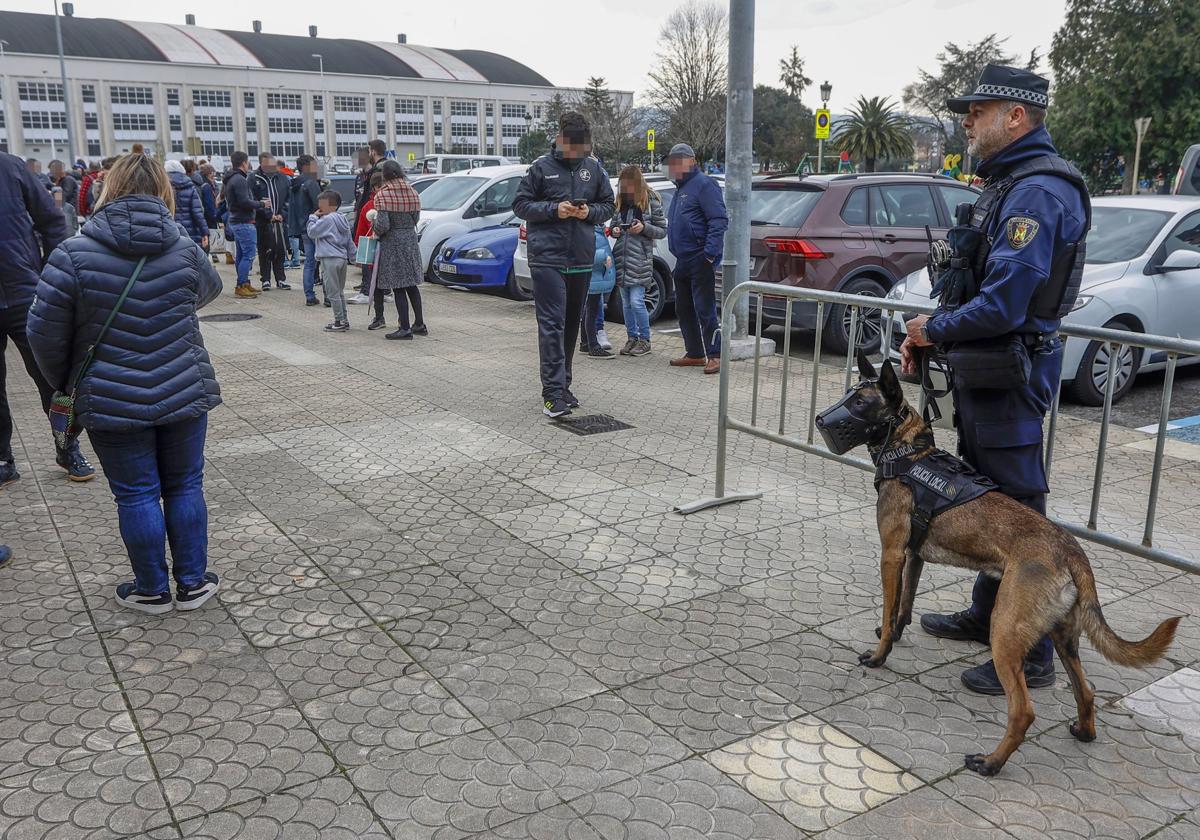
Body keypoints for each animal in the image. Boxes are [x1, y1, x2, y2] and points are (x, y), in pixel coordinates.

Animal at [830, 352, 1176, 772]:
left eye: (860, 403)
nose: (820, 421)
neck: (908, 455)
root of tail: (1071, 550)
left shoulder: (891, 555)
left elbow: (888, 606)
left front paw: (880, 655)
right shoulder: (913, 557)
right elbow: (903, 607)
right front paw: (893, 634)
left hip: (1006, 630)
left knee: (1024, 710)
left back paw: (991, 762)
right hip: (1063, 637)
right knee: (1086, 691)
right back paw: (1083, 731)